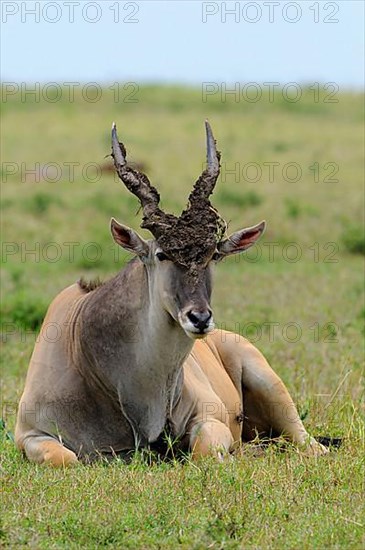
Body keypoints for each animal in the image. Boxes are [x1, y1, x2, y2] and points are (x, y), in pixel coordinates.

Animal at [14, 123, 328, 468]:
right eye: (162, 254)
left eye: (213, 255)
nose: (199, 318)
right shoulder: (29, 435)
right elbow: (65, 458)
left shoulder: (212, 419)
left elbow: (206, 450)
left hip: (268, 382)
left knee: (308, 443)